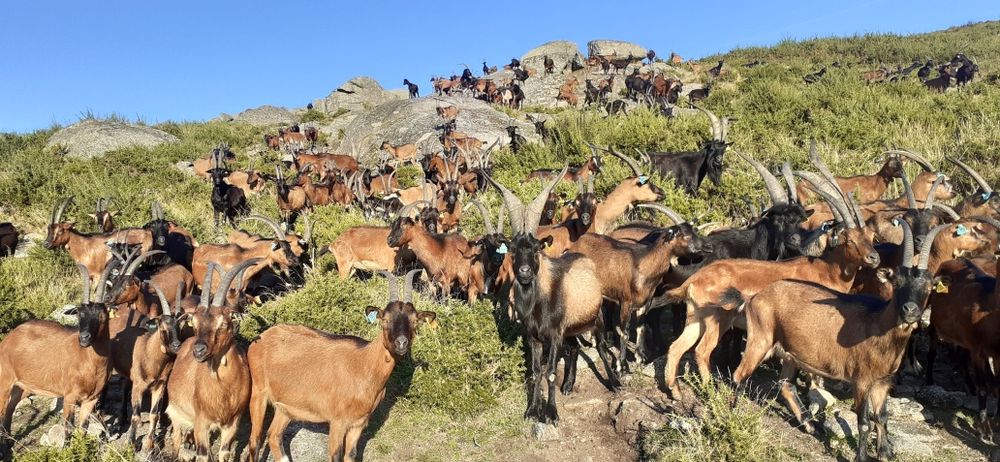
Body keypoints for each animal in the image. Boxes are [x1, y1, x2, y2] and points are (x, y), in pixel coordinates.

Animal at [0, 264, 114, 458]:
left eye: (102, 315)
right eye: (79, 313)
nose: (84, 338)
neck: (88, 362)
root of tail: (9, 338)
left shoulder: (91, 399)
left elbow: (83, 428)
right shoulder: (69, 396)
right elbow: (68, 427)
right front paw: (69, 453)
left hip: (23, 385)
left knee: (10, 407)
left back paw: (8, 442)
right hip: (4, 382)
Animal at [165, 262, 255, 462]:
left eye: (223, 323)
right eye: (195, 323)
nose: (198, 350)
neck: (223, 389)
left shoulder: (233, 422)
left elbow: (224, 453)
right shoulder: (201, 422)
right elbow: (203, 454)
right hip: (176, 415)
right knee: (176, 439)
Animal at [246, 270, 434, 462]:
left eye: (414, 321)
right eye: (385, 320)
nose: (401, 343)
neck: (364, 365)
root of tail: (261, 337)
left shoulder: (358, 423)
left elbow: (350, 455)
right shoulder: (337, 422)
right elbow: (336, 455)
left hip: (285, 406)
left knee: (274, 435)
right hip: (258, 393)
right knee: (255, 439)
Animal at [733, 220, 939, 462]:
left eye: (928, 287)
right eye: (896, 282)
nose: (910, 310)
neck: (878, 323)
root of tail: (756, 297)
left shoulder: (882, 381)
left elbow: (882, 417)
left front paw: (885, 453)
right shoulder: (862, 381)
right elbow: (864, 422)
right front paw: (862, 457)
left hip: (789, 353)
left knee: (785, 385)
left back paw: (811, 425)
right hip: (760, 339)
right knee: (740, 374)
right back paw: (732, 414)